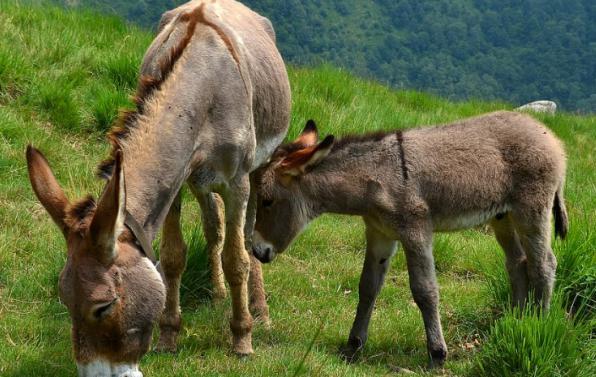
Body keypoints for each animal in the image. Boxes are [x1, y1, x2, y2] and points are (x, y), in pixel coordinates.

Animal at [251, 111, 568, 368]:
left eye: (267, 201)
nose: (257, 250)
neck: (375, 178)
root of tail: (553, 139)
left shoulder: (416, 232)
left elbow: (424, 291)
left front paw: (437, 354)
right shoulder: (379, 234)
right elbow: (368, 287)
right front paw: (353, 347)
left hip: (532, 210)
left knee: (544, 264)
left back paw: (537, 323)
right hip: (502, 216)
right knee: (518, 263)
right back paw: (516, 319)